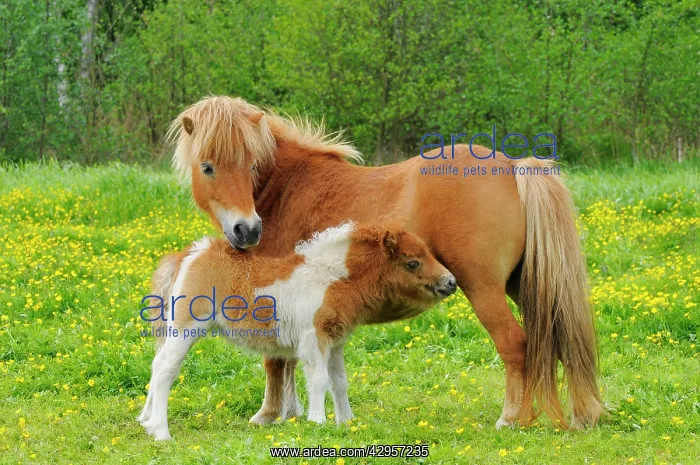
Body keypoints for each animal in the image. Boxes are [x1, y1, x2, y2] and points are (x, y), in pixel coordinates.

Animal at [137, 222, 456, 440]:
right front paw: (318, 421)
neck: (329, 278)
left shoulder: (335, 341)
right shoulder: (313, 339)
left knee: (156, 364)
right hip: (186, 328)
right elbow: (319, 380)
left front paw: (347, 422)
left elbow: (340, 381)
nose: (450, 282)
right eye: (412, 262)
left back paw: (146, 421)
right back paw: (162, 433)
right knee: (165, 369)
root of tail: (190, 255)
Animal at [166, 95, 604, 429]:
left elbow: (274, 360)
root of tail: (512, 167)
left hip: (484, 289)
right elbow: (286, 359)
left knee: (516, 345)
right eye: (208, 167)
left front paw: (269, 415)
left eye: (252, 164)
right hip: (525, 287)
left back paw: (511, 419)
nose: (247, 230)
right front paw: (290, 412)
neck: (287, 190)